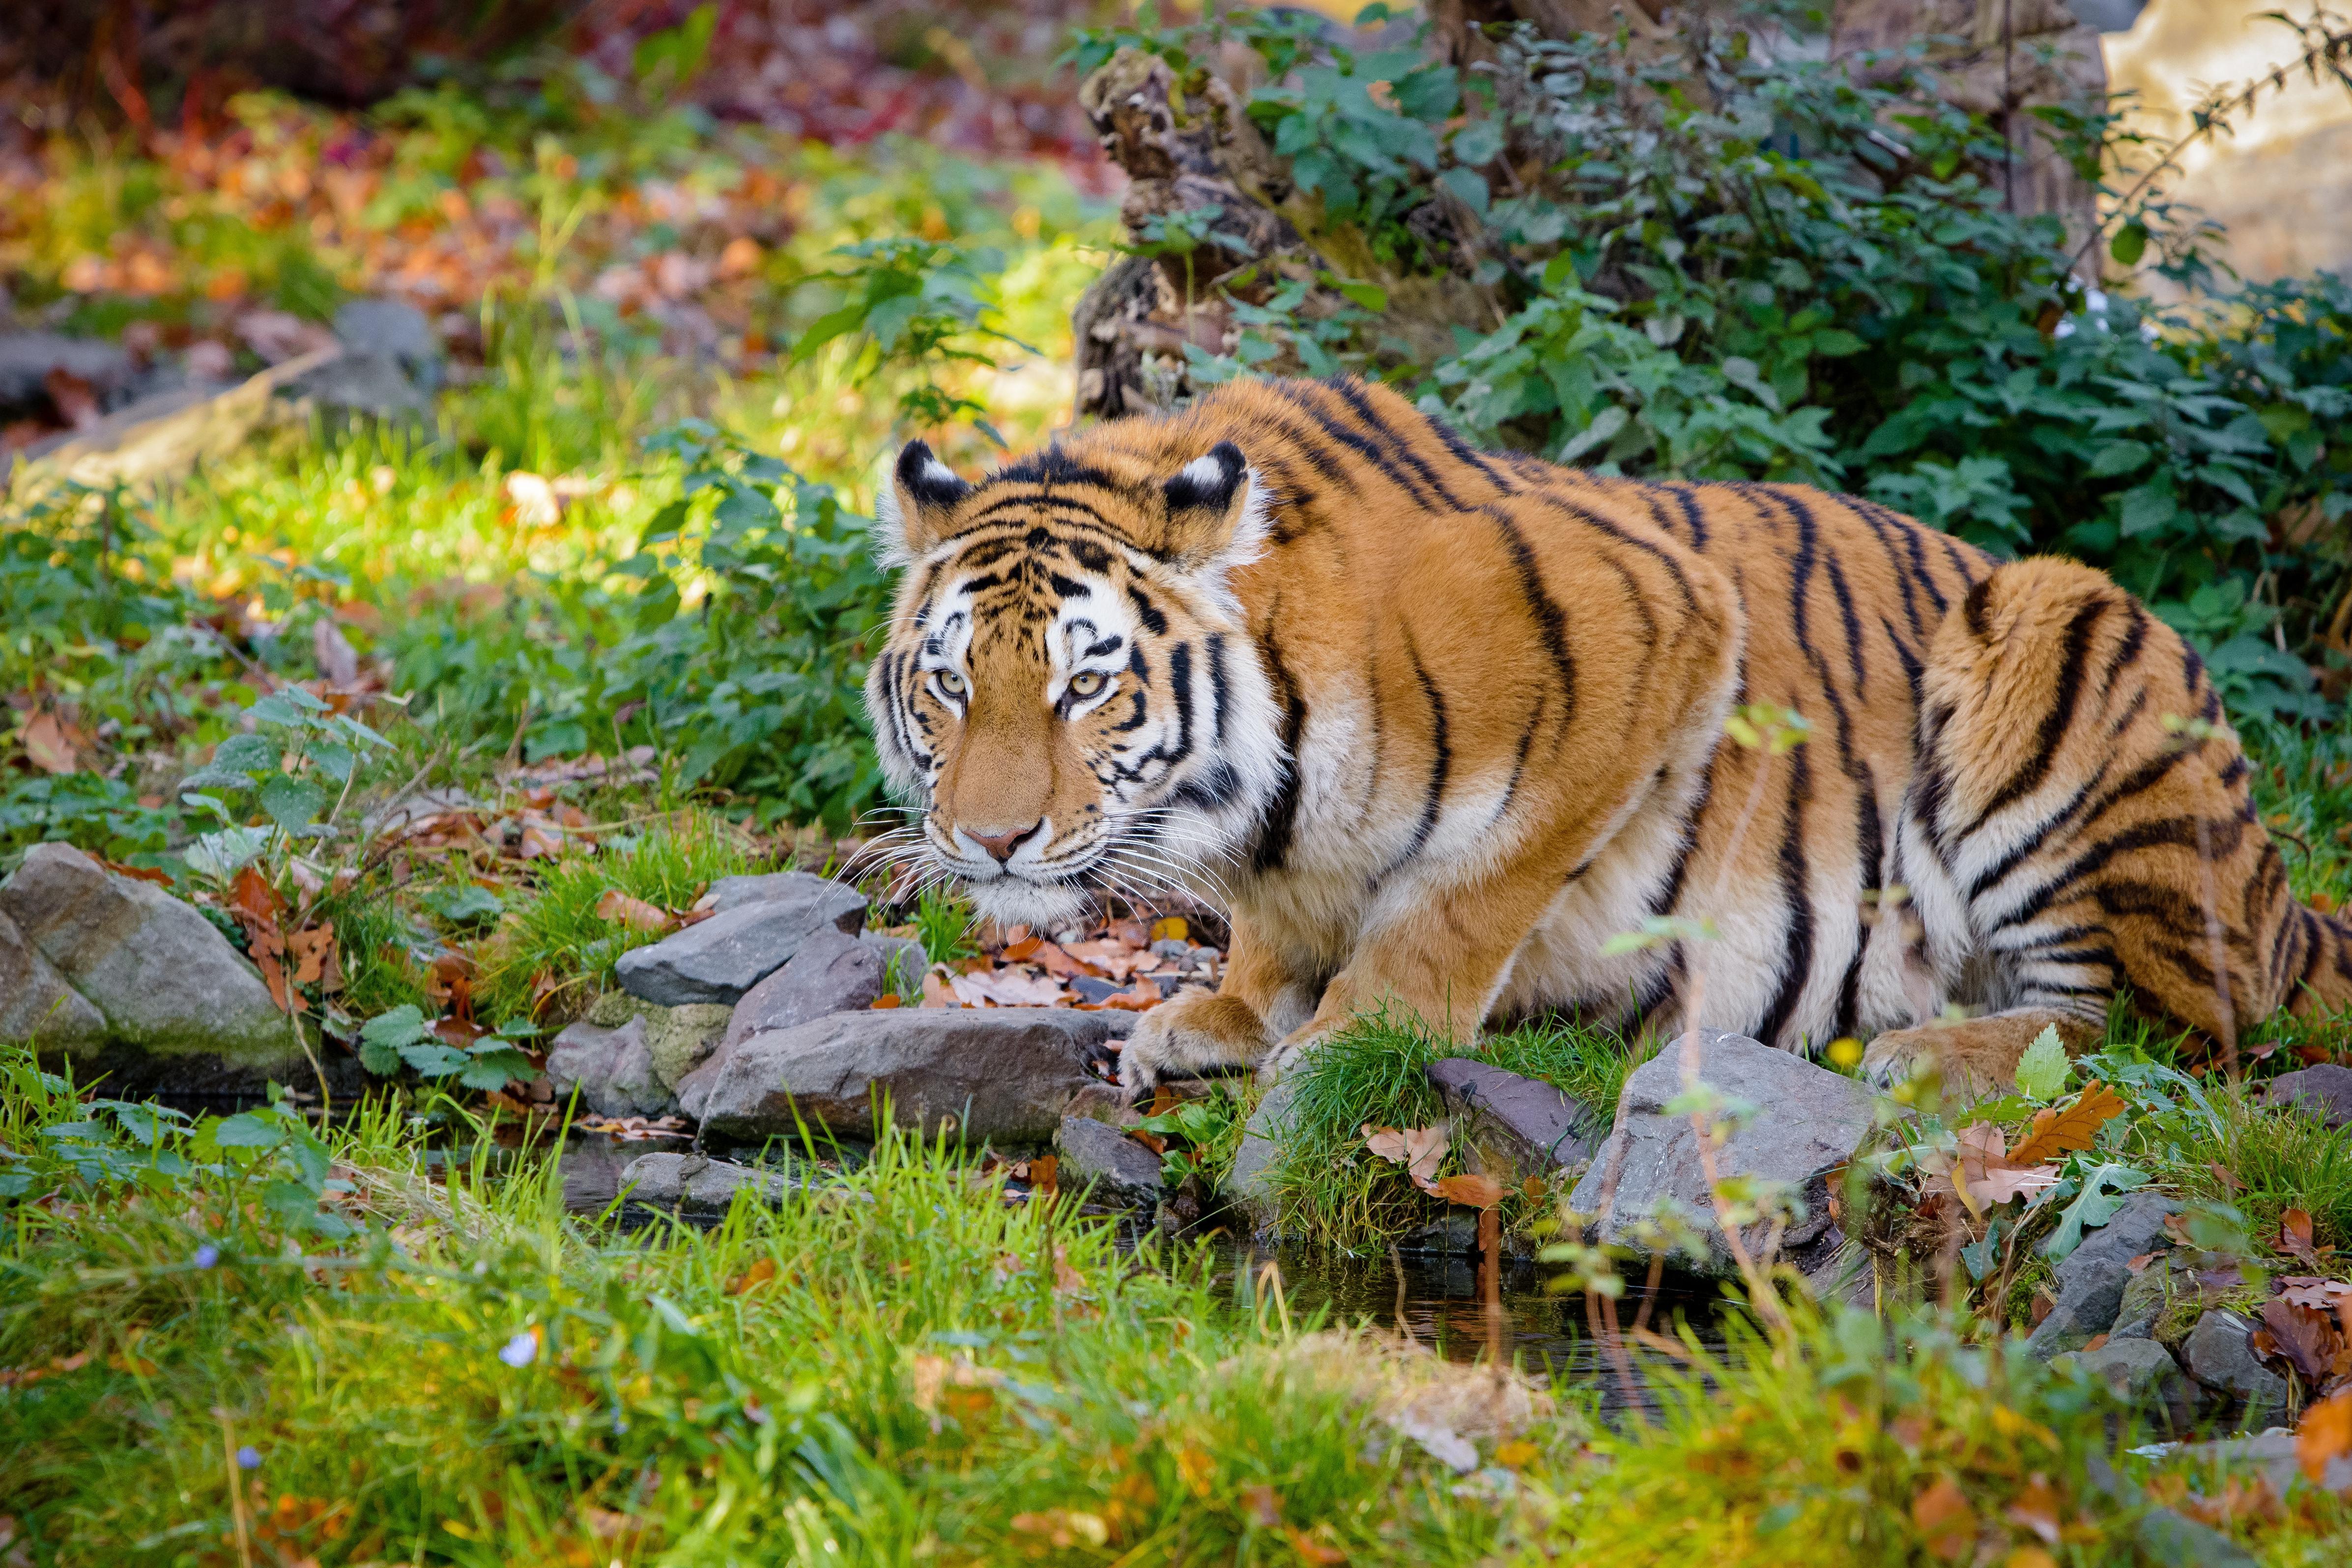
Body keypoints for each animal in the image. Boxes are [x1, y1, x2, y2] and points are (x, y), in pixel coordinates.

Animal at [865, 373, 2352, 1100]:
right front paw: (1224, 1013)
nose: (991, 840)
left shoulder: (1652, 630)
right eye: (949, 684)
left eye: (1084, 684)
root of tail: (2286, 904)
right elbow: (1284, 927)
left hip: (2056, 627)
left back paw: (1934, 1054)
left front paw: (1345, 1040)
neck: (1258, 798)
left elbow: (1456, 899)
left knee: (2165, 1028)